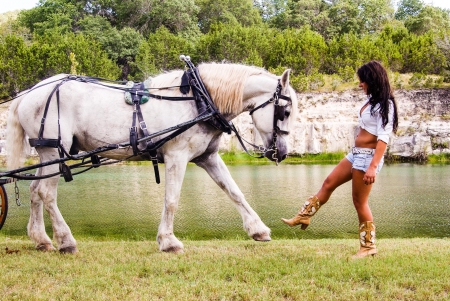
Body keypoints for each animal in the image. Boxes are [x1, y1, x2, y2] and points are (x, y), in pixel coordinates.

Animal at [6, 62, 298, 253]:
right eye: (284, 112)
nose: (283, 153)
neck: (197, 99)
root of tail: (30, 93)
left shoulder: (208, 157)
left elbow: (235, 192)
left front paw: (258, 229)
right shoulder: (177, 156)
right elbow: (171, 200)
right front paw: (168, 241)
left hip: (49, 155)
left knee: (34, 190)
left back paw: (41, 239)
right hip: (55, 151)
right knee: (47, 193)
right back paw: (65, 241)